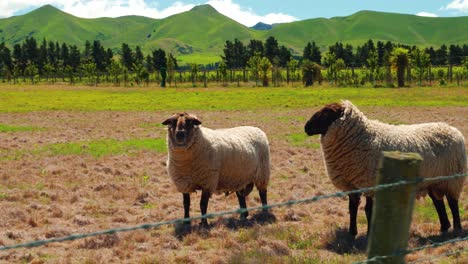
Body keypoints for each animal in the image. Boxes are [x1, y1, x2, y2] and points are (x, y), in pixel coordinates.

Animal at [304, 100, 464, 236]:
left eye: (327, 112)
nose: (306, 127)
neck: (362, 136)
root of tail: (453, 129)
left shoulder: (371, 182)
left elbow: (369, 210)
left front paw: (369, 234)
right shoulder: (352, 184)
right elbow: (352, 208)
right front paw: (352, 233)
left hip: (453, 177)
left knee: (452, 203)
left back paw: (457, 228)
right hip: (434, 180)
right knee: (438, 202)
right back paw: (444, 227)